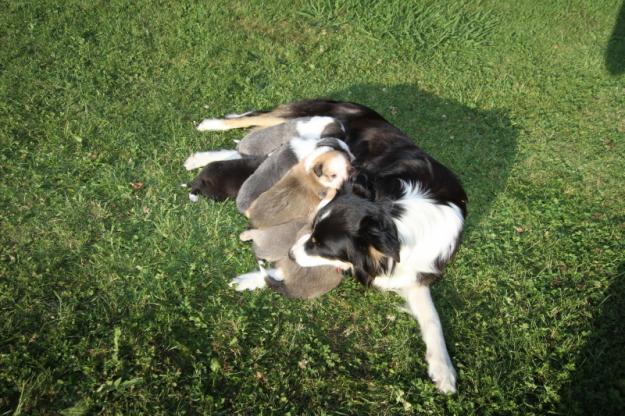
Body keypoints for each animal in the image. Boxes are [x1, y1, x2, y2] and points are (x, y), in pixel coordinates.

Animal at [188, 99, 466, 392]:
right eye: (313, 231)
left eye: (321, 245)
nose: (289, 253)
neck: (397, 219)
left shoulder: (414, 272)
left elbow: (432, 318)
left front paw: (443, 370)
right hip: (301, 118)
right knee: (248, 122)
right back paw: (208, 129)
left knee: (244, 149)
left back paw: (199, 160)